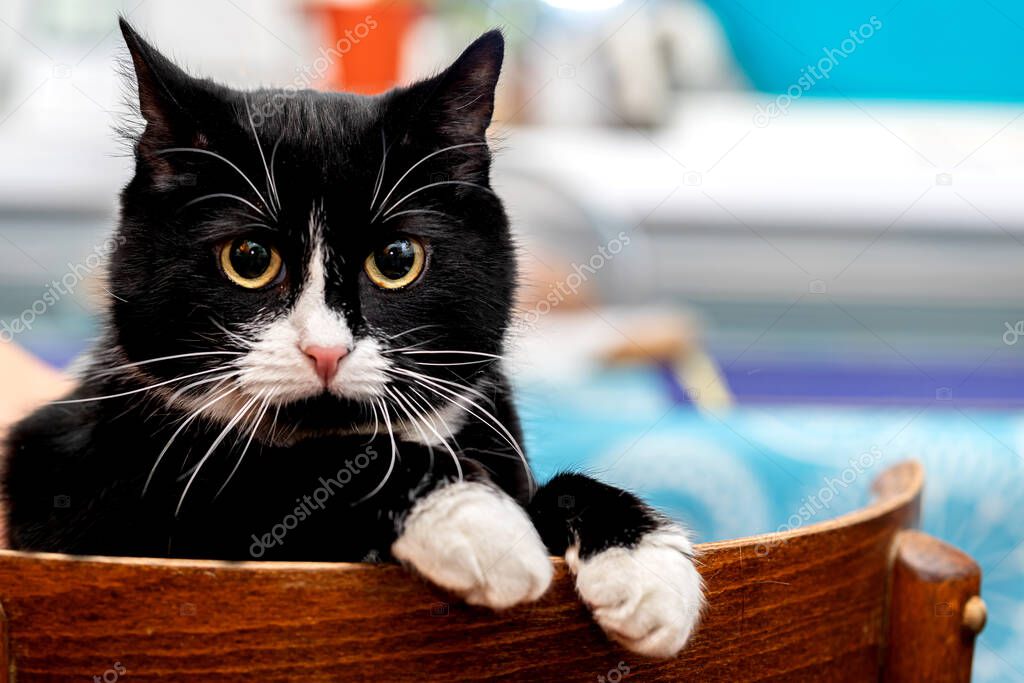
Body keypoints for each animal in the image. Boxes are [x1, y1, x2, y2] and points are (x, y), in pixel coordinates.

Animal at [0, 18, 704, 659]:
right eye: (248, 258)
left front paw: (645, 567)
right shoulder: (76, 483)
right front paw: (478, 521)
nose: (325, 350)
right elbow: (252, 475)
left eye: (396, 259)